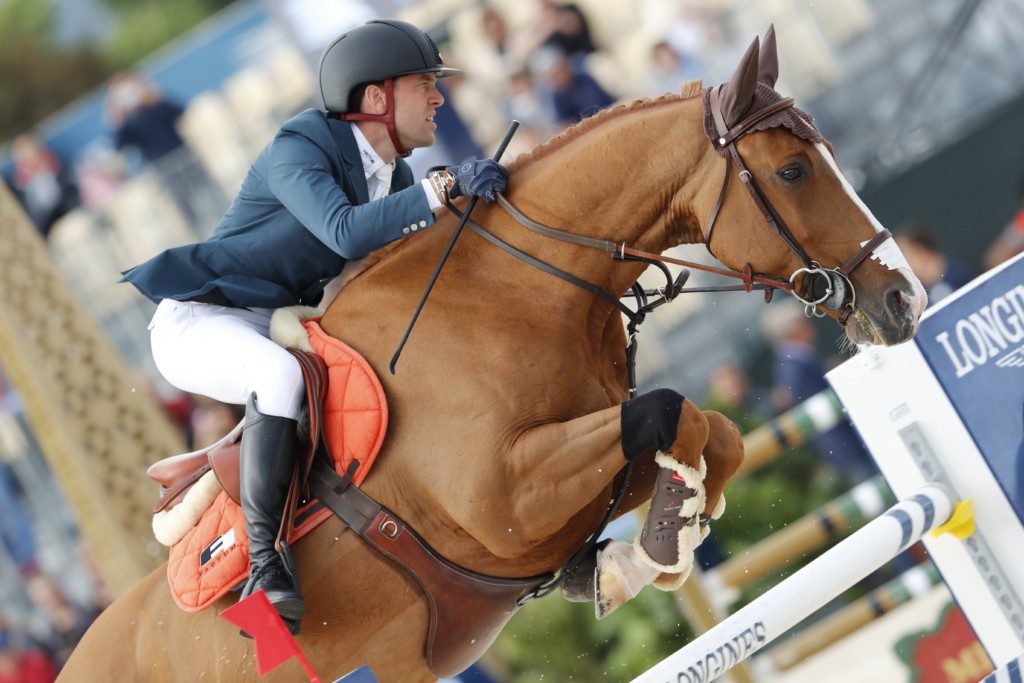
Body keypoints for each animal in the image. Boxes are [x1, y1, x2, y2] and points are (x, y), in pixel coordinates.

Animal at [64, 31, 929, 683]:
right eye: (792, 169)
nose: (906, 302)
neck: (516, 294)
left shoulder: (579, 483)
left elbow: (713, 432)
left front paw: (649, 544)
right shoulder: (508, 500)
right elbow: (670, 411)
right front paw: (659, 548)